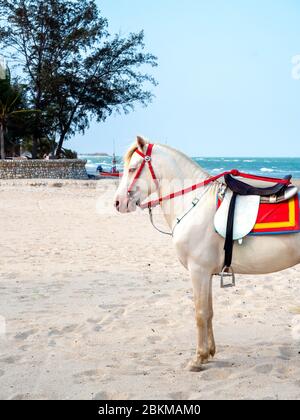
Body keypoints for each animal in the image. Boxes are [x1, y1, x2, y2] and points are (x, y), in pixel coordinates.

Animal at [113, 137, 298, 370]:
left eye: (132, 168)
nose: (118, 203)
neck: (194, 203)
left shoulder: (198, 271)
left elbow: (200, 313)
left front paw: (198, 358)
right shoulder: (206, 273)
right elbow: (209, 312)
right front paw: (209, 352)